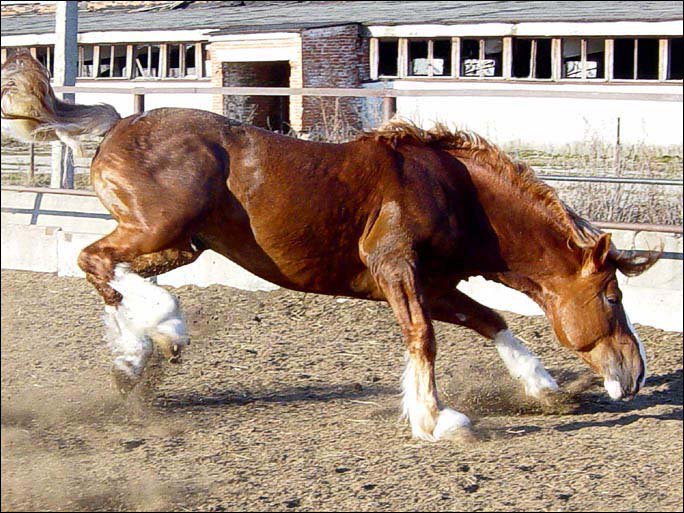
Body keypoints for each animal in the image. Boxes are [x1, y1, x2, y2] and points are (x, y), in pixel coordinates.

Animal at [0, 52, 656, 440]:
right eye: (614, 297)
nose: (636, 375)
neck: (454, 188)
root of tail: (116, 126)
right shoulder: (395, 268)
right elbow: (424, 338)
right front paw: (437, 420)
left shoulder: (434, 283)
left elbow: (492, 320)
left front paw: (543, 389)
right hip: (161, 228)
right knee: (96, 261)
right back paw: (159, 333)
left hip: (183, 244)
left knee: (114, 273)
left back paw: (137, 355)